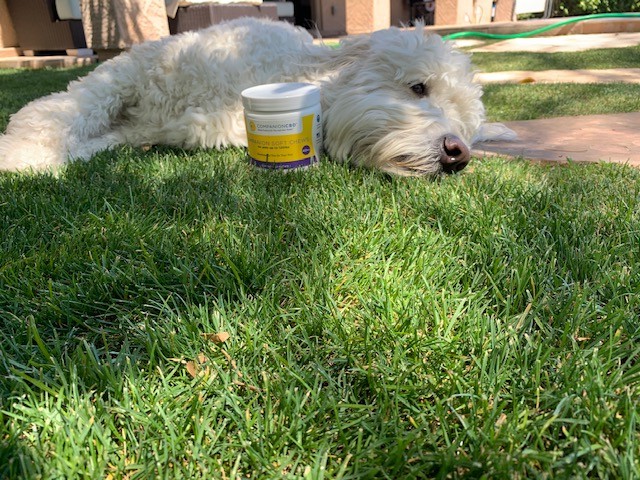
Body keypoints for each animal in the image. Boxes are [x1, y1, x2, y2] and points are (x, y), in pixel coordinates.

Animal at [0, 17, 514, 176]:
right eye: (418, 87)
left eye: (466, 129)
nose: (457, 153)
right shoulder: (131, 70)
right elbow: (68, 107)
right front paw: (22, 153)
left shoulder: (157, 127)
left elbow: (98, 138)